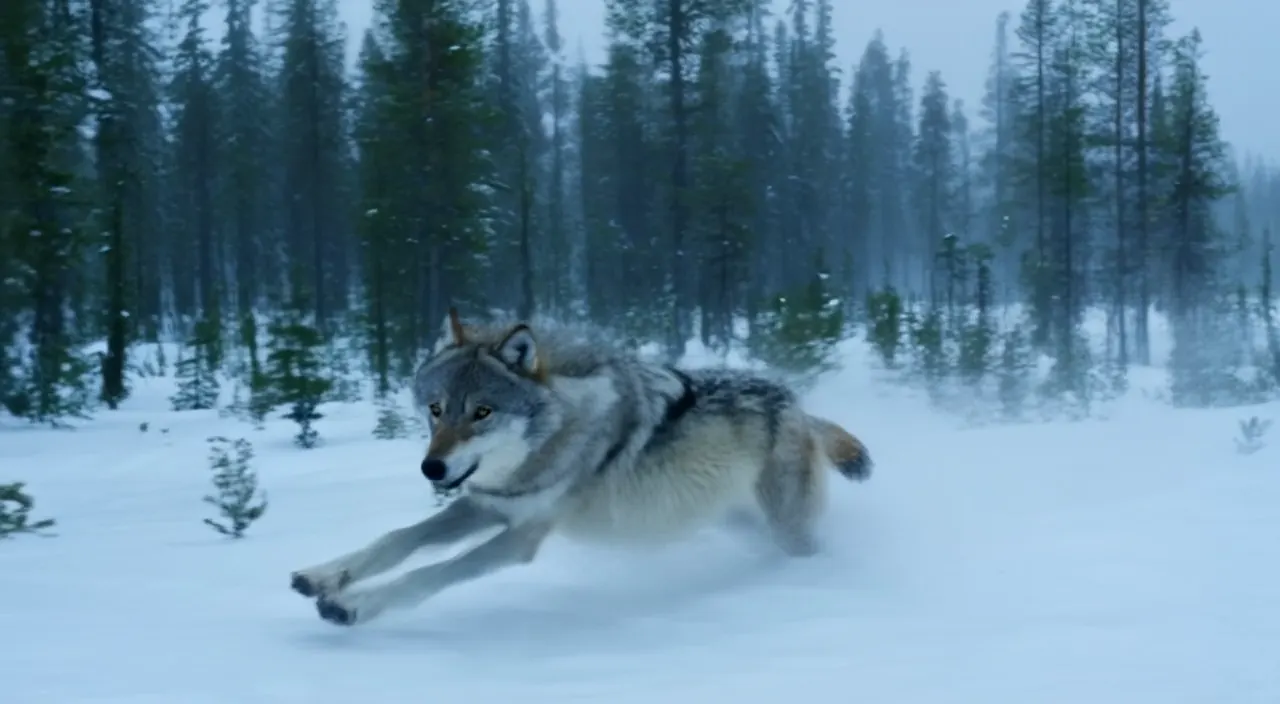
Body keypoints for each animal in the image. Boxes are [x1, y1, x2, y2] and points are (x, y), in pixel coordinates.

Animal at [290, 309, 873, 627]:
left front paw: (356, 606)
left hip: (787, 529)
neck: (558, 430)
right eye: (436, 409)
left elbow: (432, 571)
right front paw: (322, 577)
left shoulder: (520, 537)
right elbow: (398, 539)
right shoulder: (486, 505)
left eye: (482, 412)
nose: (432, 469)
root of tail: (796, 402)